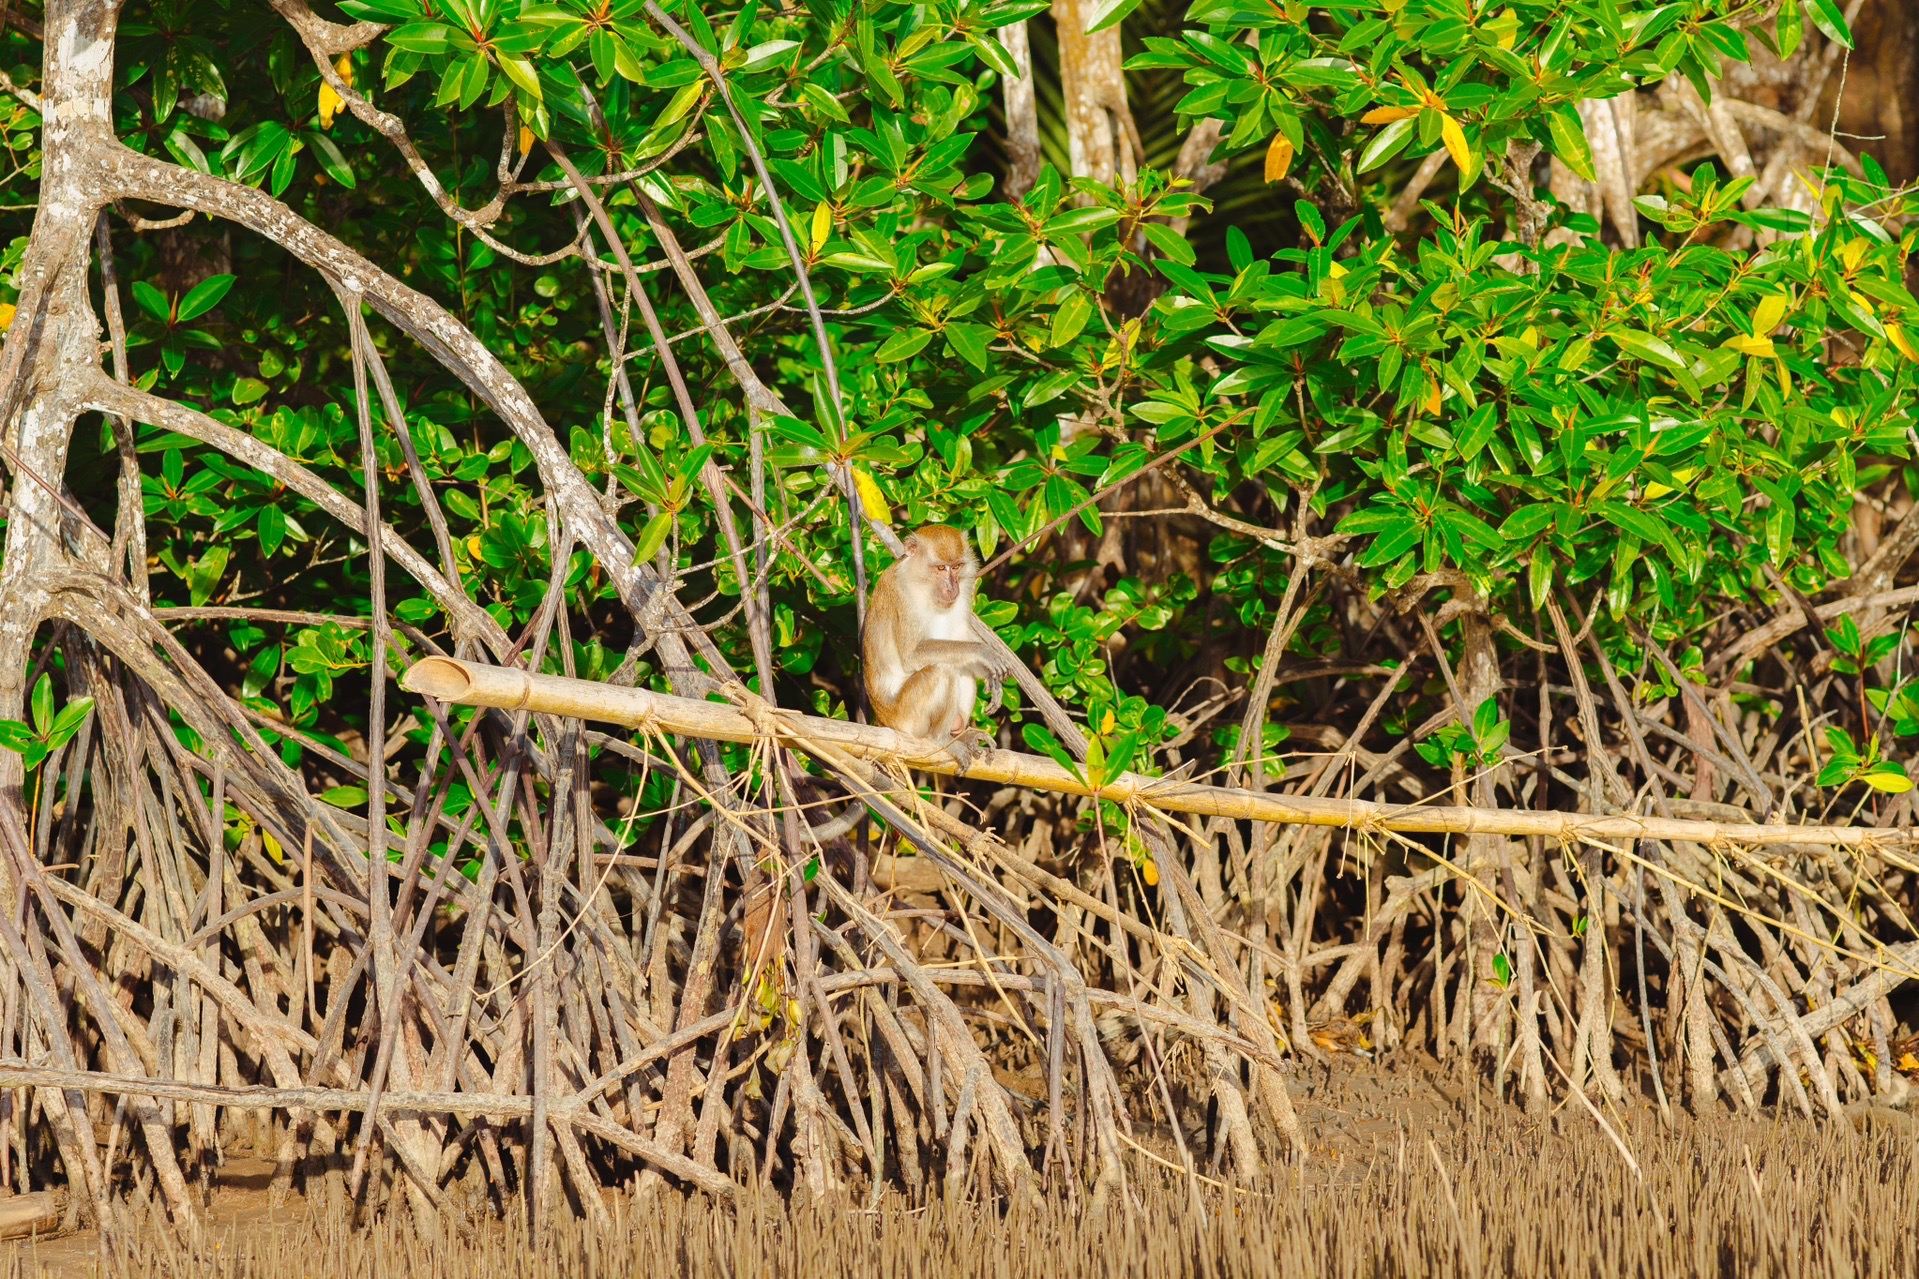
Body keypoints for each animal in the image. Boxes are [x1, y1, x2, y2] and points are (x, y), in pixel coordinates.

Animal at [867, 522, 1013, 768]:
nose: (951, 588)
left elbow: (961, 634)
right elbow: (912, 654)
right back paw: (941, 740)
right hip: (906, 718)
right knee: (942, 670)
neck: (922, 584)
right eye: (940, 568)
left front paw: (992, 678)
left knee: (960, 665)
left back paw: (963, 736)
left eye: (956, 567)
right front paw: (985, 652)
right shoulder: (902, 594)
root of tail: (883, 720)